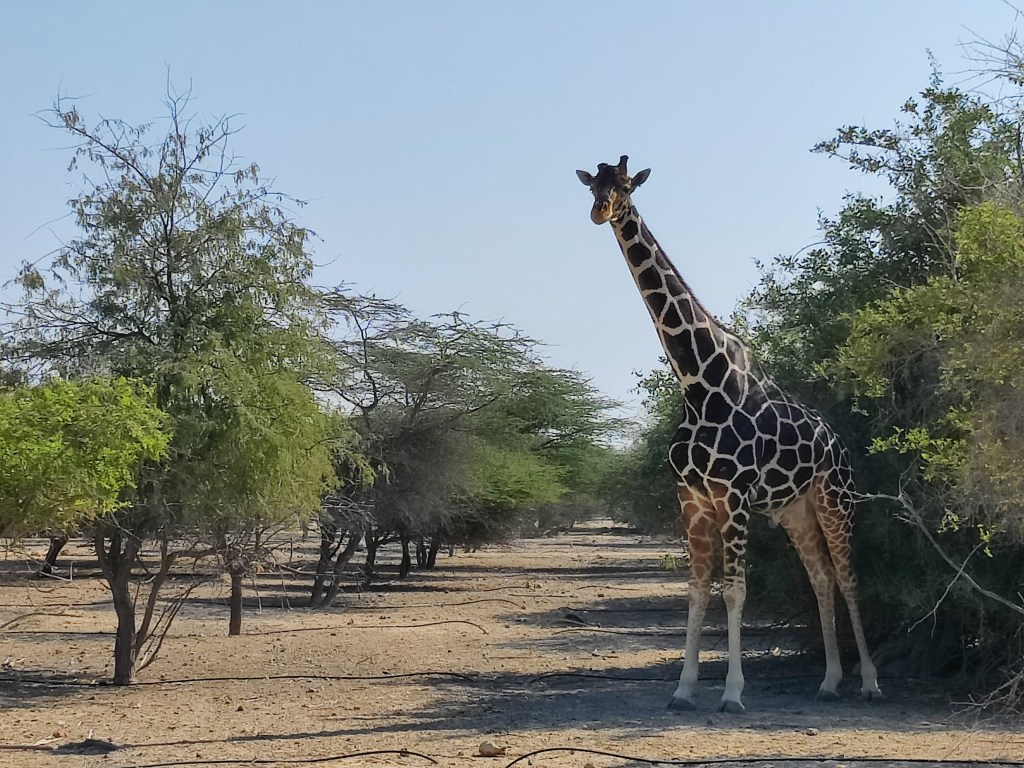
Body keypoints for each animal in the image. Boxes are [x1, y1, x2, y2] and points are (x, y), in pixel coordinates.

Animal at [576, 155, 881, 713]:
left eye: (627, 186)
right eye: (595, 186)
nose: (600, 211)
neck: (698, 381)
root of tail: (840, 445)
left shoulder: (734, 496)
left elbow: (735, 590)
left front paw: (733, 693)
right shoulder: (693, 498)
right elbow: (698, 590)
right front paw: (682, 689)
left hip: (836, 502)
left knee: (849, 578)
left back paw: (869, 682)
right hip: (796, 511)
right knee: (821, 578)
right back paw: (829, 681)